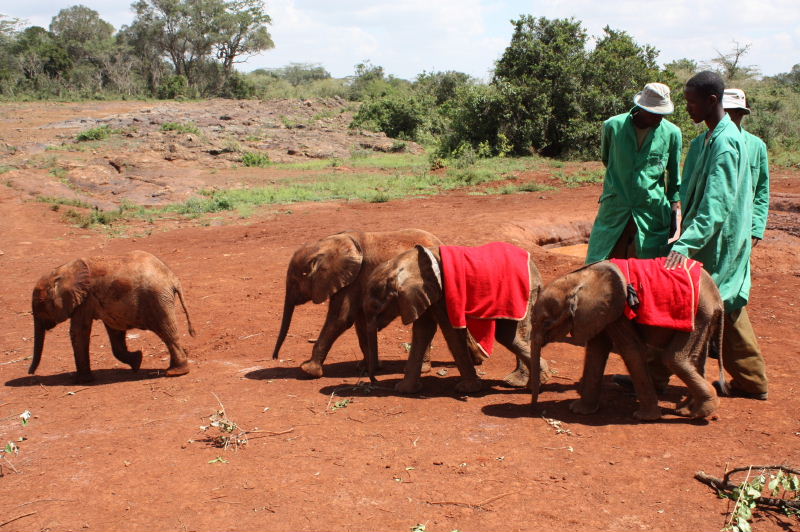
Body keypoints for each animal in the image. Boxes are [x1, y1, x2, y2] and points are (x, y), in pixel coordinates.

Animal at [30, 250, 196, 382]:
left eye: (40, 304)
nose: (30, 373)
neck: (62, 271)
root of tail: (172, 278)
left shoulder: (85, 299)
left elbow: (78, 332)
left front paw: (82, 381)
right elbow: (115, 332)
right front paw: (137, 360)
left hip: (157, 299)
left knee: (167, 331)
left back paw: (175, 372)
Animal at [532, 260, 724, 420]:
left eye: (546, 322)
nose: (535, 406)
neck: (578, 279)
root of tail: (718, 298)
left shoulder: (619, 311)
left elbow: (631, 349)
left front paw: (645, 417)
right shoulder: (599, 313)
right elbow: (596, 350)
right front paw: (579, 411)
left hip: (695, 315)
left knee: (674, 359)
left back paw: (701, 412)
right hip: (704, 318)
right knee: (696, 361)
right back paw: (687, 410)